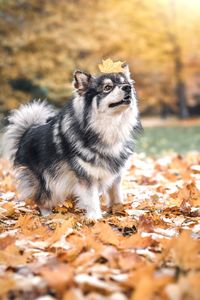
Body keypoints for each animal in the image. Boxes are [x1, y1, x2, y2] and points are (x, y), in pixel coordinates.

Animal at [3, 63, 141, 220]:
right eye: (107, 87)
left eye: (126, 83)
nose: (127, 88)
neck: (108, 129)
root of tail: (28, 130)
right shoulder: (86, 177)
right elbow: (92, 199)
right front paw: (96, 219)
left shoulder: (115, 172)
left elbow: (116, 194)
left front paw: (119, 212)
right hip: (48, 183)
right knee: (42, 201)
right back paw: (48, 217)